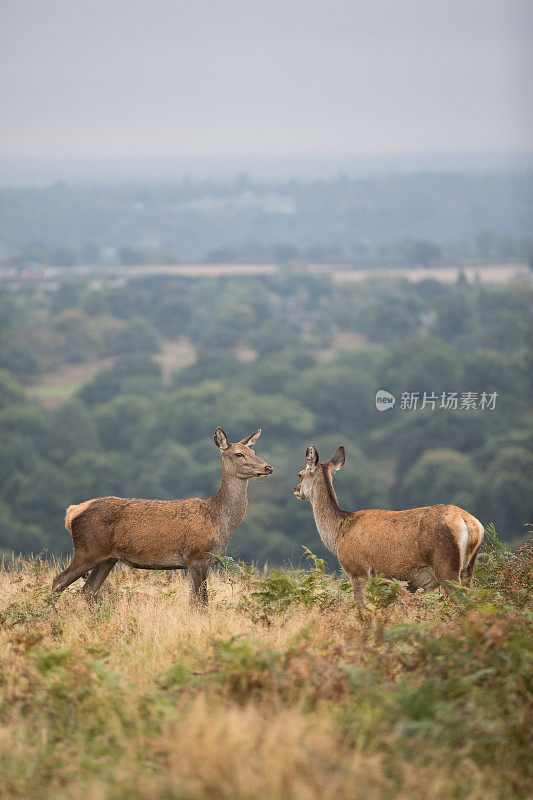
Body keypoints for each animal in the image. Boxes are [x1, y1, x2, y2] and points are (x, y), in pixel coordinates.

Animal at [52, 424, 272, 608]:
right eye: (239, 454)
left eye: (254, 451)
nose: (268, 467)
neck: (219, 520)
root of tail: (72, 513)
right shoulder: (197, 556)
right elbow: (201, 603)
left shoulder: (195, 562)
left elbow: (194, 601)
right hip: (87, 550)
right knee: (58, 582)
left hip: (107, 558)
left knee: (88, 590)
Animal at [294, 444, 484, 600]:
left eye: (300, 475)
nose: (295, 490)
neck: (339, 533)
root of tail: (471, 524)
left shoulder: (357, 570)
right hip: (468, 569)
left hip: (446, 564)